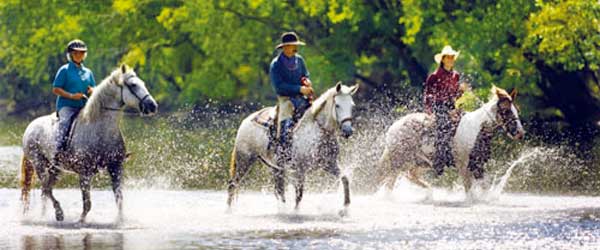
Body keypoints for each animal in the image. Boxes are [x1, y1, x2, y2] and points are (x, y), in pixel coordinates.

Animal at [20, 64, 158, 223]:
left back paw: (46, 215)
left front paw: (120, 220)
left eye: (143, 83)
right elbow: (87, 203)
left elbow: (119, 198)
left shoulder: (116, 167)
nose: (153, 106)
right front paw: (81, 220)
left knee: (45, 190)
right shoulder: (84, 172)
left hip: (55, 168)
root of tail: (30, 127)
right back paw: (59, 213)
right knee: (46, 188)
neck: (100, 129)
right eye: (133, 85)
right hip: (39, 164)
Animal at [225, 83, 356, 212]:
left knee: (279, 190)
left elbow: (344, 178)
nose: (348, 131)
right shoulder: (300, 169)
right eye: (337, 105)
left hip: (276, 167)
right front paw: (296, 211)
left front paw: (346, 205)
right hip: (245, 160)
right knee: (233, 184)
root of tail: (245, 121)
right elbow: (299, 194)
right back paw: (229, 209)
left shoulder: (329, 164)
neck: (317, 131)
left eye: (352, 105)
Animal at [380, 86, 524, 199]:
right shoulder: (463, 165)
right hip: (398, 161)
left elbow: (484, 185)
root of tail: (394, 127)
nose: (520, 133)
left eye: (516, 110)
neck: (476, 130)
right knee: (389, 183)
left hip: (420, 162)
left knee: (410, 175)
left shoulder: (477, 164)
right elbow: (469, 188)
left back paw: (429, 192)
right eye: (506, 111)